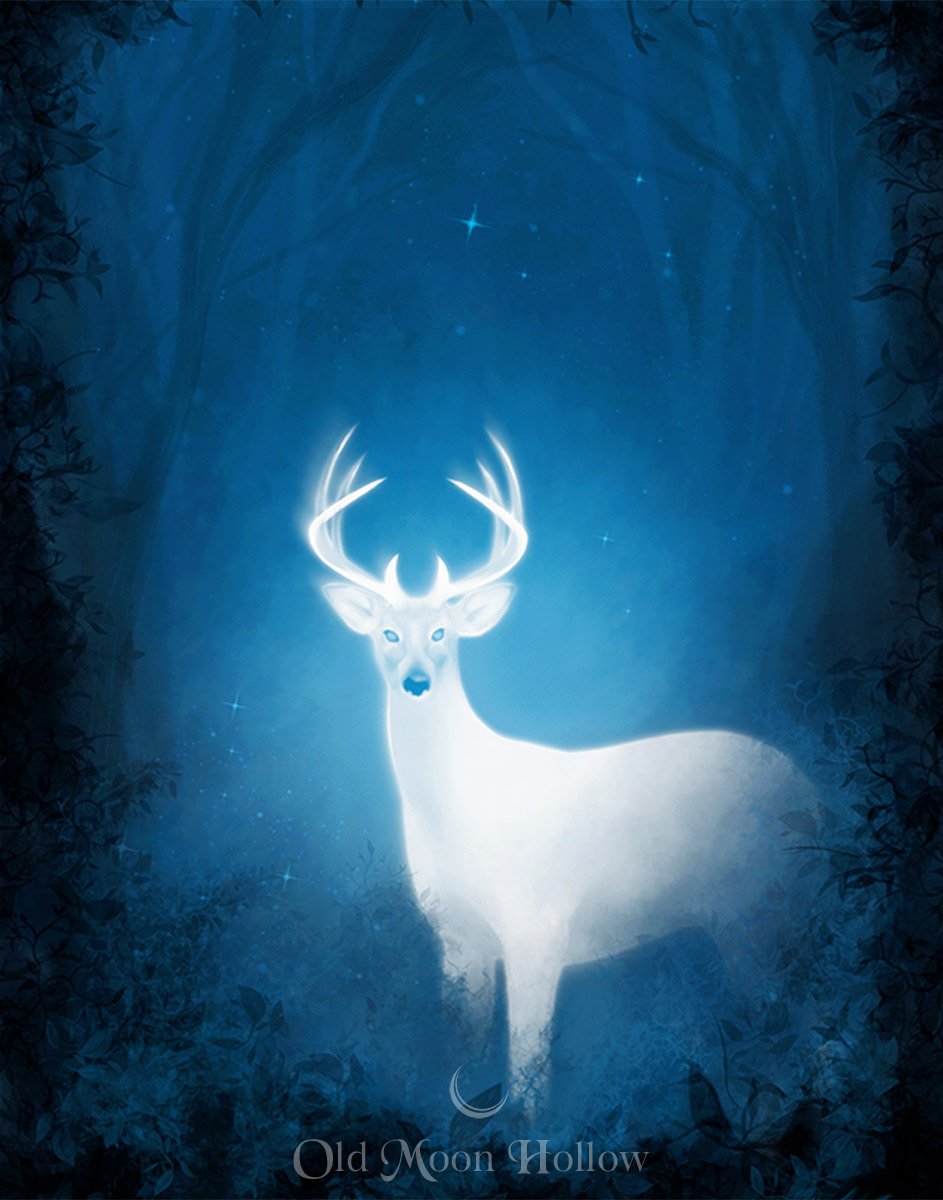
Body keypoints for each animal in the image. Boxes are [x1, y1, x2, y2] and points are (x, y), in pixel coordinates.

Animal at [308, 428, 814, 1106]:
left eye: (442, 632)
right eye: (388, 633)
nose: (416, 681)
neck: (457, 810)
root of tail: (815, 793)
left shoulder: (539, 925)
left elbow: (529, 1078)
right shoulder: (456, 938)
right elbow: (460, 1057)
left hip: (760, 911)